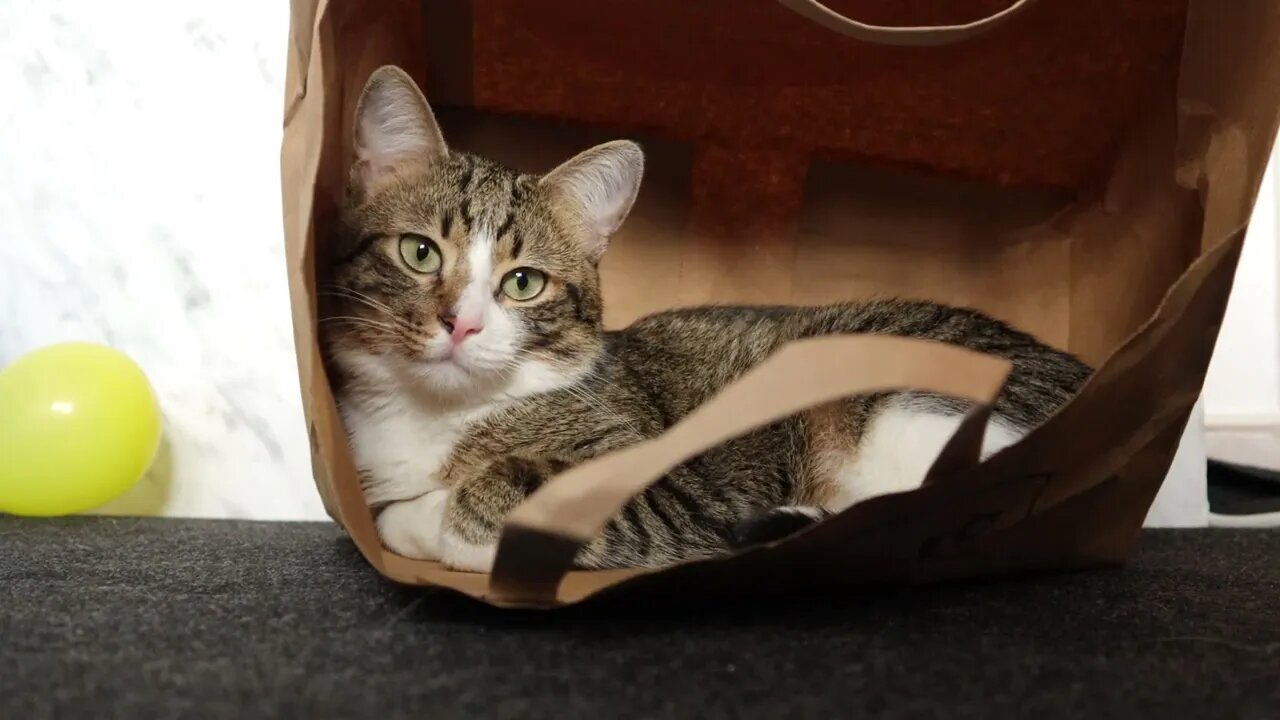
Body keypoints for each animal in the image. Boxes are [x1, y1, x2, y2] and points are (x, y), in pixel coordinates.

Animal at [320, 67, 1090, 571]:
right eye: (420, 252)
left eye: (523, 283)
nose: (462, 325)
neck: (438, 416)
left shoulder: (681, 490)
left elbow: (489, 495)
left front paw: (419, 517)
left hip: (912, 408)